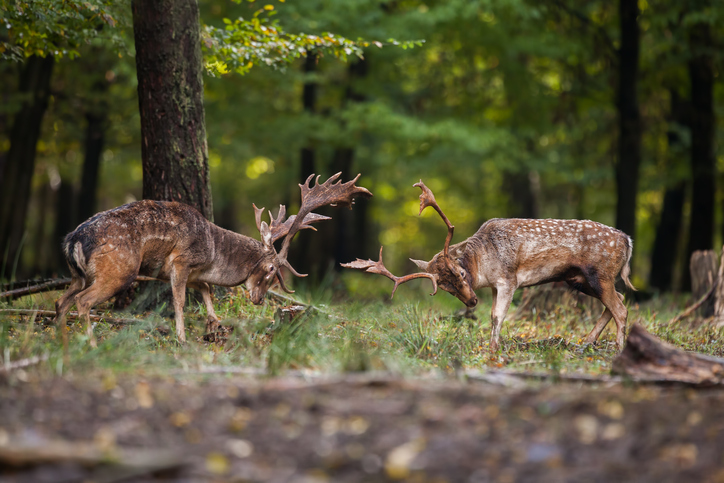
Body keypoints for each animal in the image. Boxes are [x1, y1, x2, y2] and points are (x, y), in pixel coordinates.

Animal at [55, 172, 370, 346]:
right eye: (271, 269)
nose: (259, 300)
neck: (212, 253)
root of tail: (72, 239)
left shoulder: (191, 272)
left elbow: (207, 289)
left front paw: (214, 324)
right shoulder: (180, 262)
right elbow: (179, 300)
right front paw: (182, 339)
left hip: (76, 274)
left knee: (61, 301)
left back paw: (60, 339)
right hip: (119, 269)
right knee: (82, 301)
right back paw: (91, 344)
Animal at [344, 181, 632, 352]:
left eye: (461, 273)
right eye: (445, 288)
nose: (471, 301)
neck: (484, 266)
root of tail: (627, 240)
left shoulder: (508, 279)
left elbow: (497, 315)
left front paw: (494, 349)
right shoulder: (495, 285)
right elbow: (493, 314)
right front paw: (491, 345)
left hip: (600, 273)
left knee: (621, 307)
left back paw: (619, 348)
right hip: (580, 279)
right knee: (619, 298)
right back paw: (587, 341)